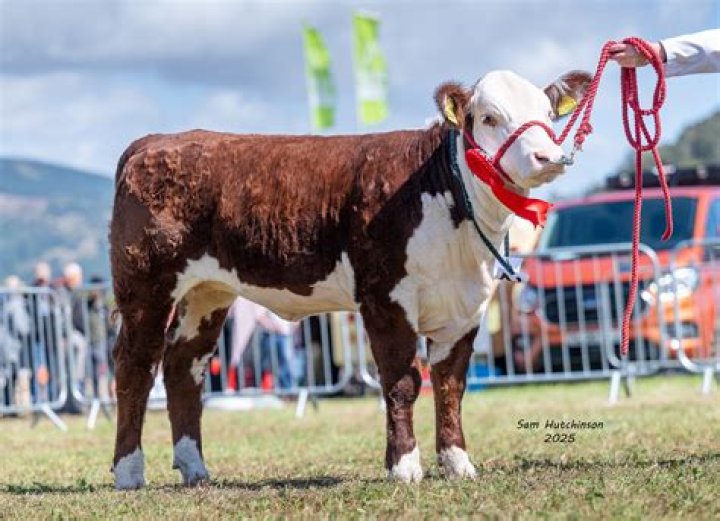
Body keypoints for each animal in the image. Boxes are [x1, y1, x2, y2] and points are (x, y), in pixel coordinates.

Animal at [109, 69, 591, 489]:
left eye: (548, 114)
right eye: (490, 117)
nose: (548, 157)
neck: (444, 194)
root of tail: (154, 142)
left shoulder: (467, 305)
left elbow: (451, 384)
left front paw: (458, 463)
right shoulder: (385, 297)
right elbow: (403, 381)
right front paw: (404, 466)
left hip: (208, 293)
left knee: (182, 366)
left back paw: (194, 468)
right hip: (146, 286)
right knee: (135, 365)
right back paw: (129, 472)